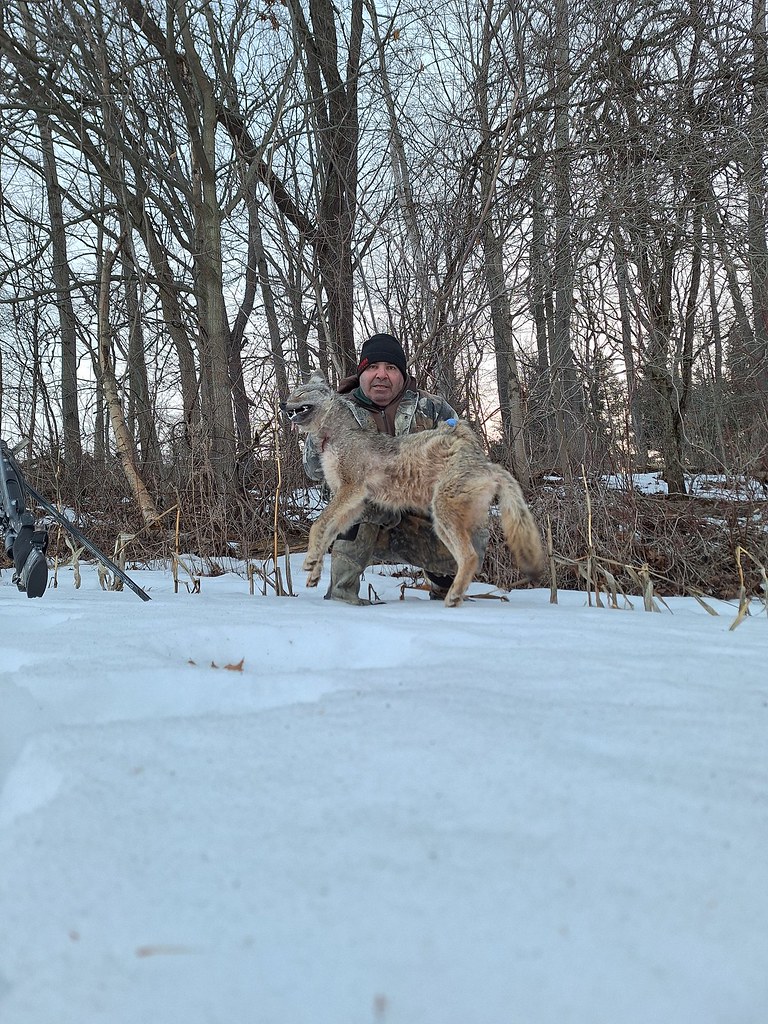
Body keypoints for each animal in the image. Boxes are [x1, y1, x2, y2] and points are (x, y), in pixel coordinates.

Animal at [281, 371, 545, 607]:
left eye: (300, 393)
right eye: (292, 393)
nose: (283, 403)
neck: (335, 437)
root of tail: (488, 464)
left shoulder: (350, 490)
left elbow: (317, 526)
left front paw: (309, 561)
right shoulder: (355, 504)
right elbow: (327, 534)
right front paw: (314, 571)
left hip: (443, 519)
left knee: (470, 558)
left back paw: (452, 597)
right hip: (442, 527)